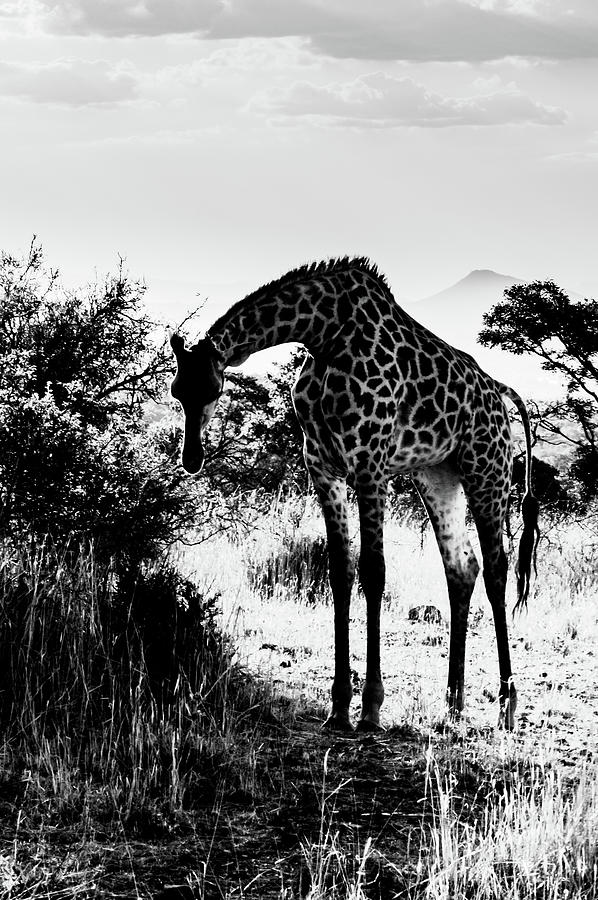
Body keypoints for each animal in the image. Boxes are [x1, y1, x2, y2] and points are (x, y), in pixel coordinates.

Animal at [170, 257, 539, 732]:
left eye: (214, 390)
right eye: (177, 391)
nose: (191, 458)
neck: (325, 336)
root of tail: (501, 392)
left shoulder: (370, 464)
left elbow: (373, 572)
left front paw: (371, 708)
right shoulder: (323, 467)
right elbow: (339, 571)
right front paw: (339, 706)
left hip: (487, 470)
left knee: (496, 570)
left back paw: (506, 704)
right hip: (437, 475)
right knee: (461, 568)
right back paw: (453, 703)